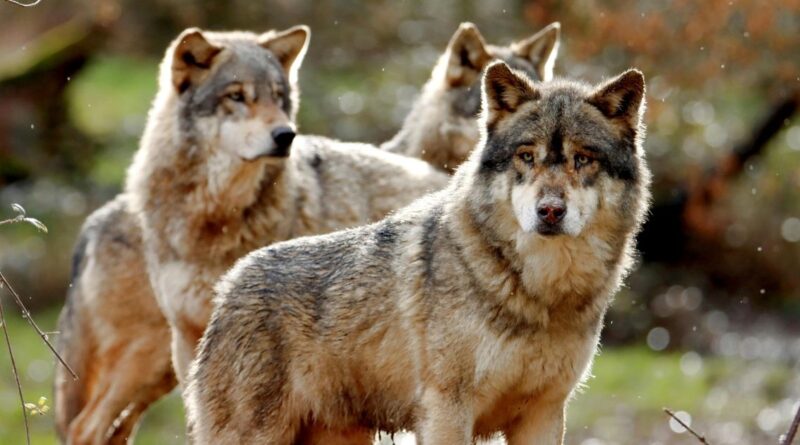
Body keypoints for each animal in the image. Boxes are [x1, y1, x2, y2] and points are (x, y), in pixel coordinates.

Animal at [54, 22, 561, 444]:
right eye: (237, 96)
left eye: (279, 95)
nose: (285, 135)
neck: (214, 220)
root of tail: (94, 222)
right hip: (151, 362)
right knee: (86, 427)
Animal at [186, 62, 651, 445]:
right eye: (526, 156)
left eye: (583, 159)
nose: (550, 211)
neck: (539, 293)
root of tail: (230, 282)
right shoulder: (447, 409)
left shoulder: (544, 413)